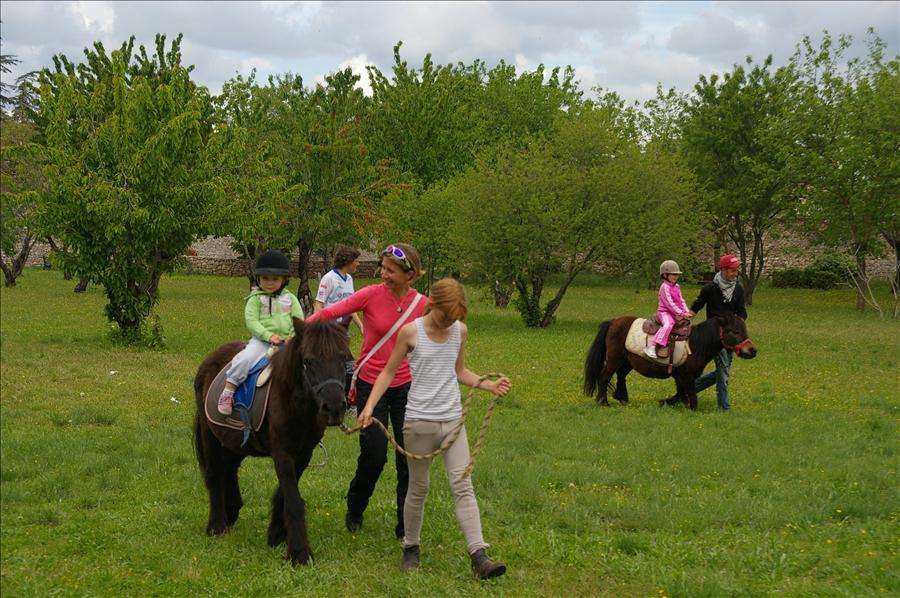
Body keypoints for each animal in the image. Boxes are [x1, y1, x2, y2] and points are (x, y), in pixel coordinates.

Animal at [193, 322, 352, 564]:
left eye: (344, 358)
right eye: (308, 360)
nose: (334, 408)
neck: (294, 401)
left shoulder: (303, 454)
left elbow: (284, 495)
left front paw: (277, 537)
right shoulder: (282, 453)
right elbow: (293, 501)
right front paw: (300, 553)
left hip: (234, 442)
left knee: (229, 469)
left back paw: (232, 510)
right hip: (210, 435)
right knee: (214, 474)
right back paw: (217, 526)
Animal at [580, 314, 756, 412]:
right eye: (735, 331)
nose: (752, 350)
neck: (696, 343)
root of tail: (613, 322)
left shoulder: (681, 376)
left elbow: (681, 393)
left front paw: (669, 403)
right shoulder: (686, 376)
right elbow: (690, 394)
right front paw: (690, 408)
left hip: (627, 361)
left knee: (620, 376)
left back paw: (622, 397)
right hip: (614, 359)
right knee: (604, 377)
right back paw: (603, 402)